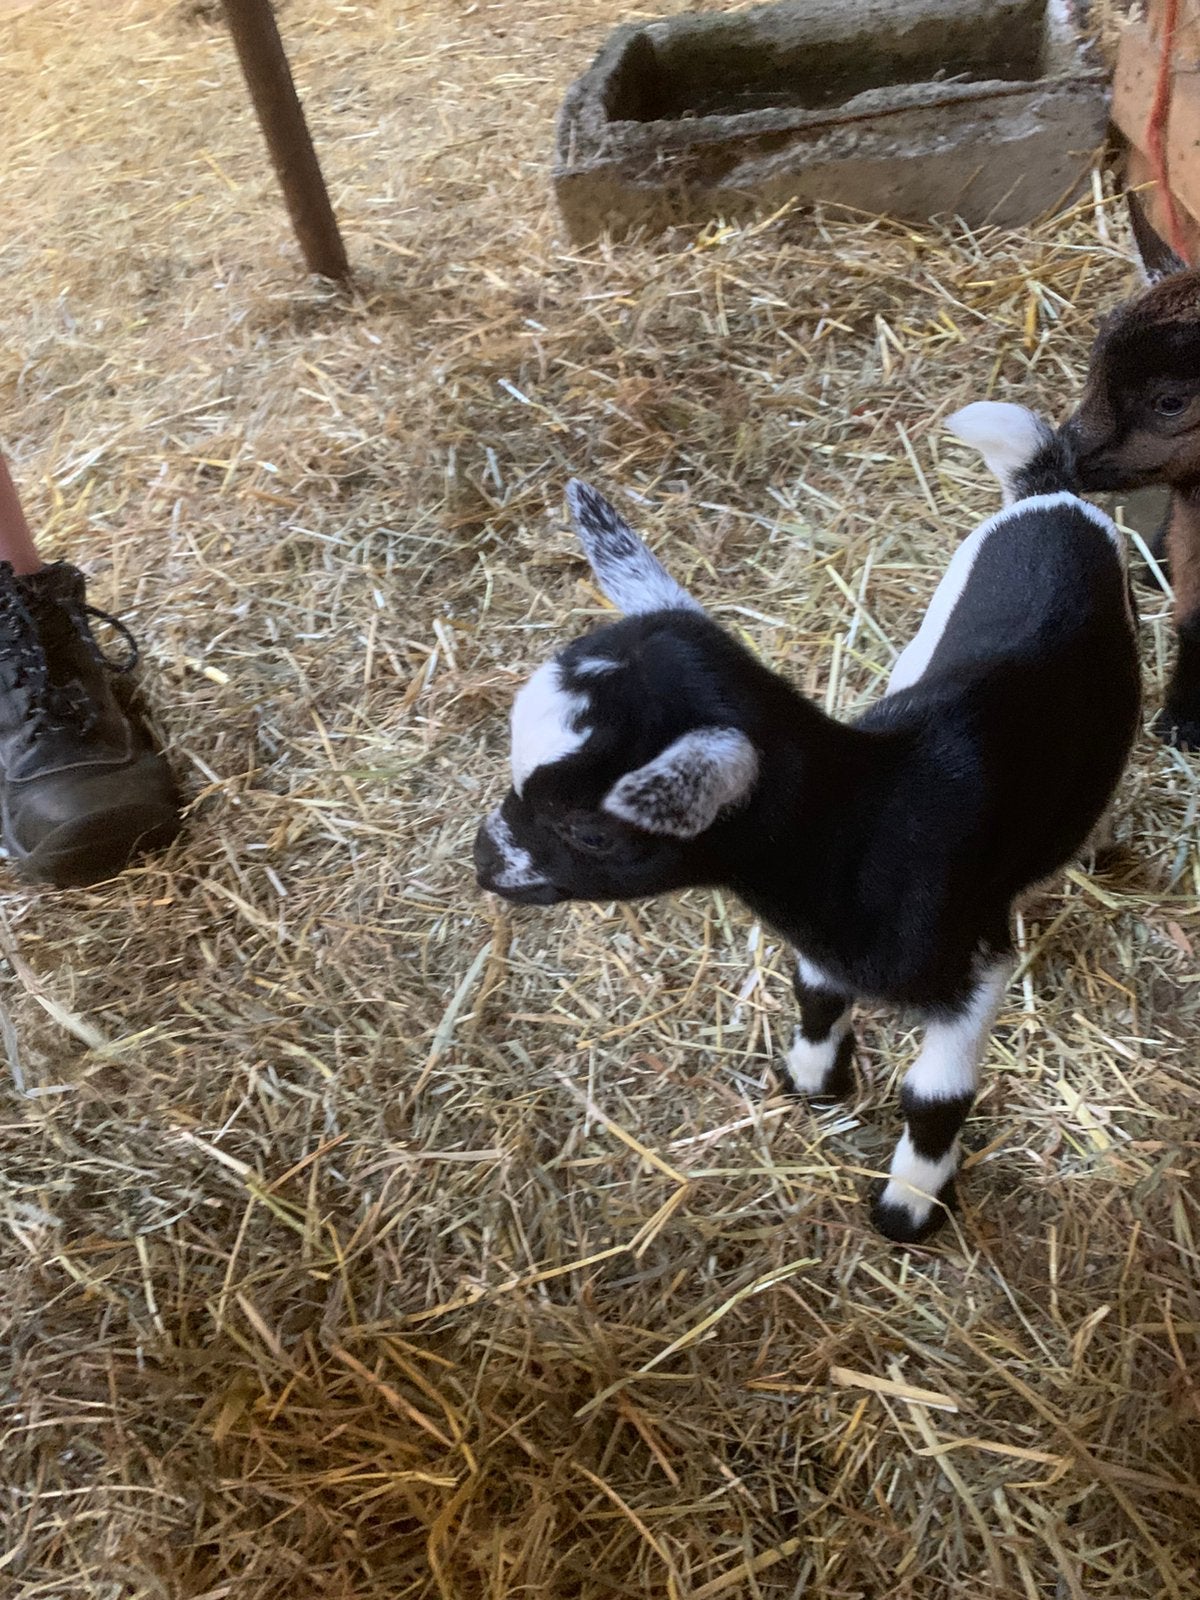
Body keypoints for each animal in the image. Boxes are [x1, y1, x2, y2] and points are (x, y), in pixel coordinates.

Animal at [475, 412, 1139, 1242]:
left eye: (592, 832)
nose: (484, 862)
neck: (872, 816)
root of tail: (1050, 491)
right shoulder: (824, 943)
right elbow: (815, 996)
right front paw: (816, 1080)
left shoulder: (978, 966)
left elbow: (933, 1098)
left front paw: (909, 1206)